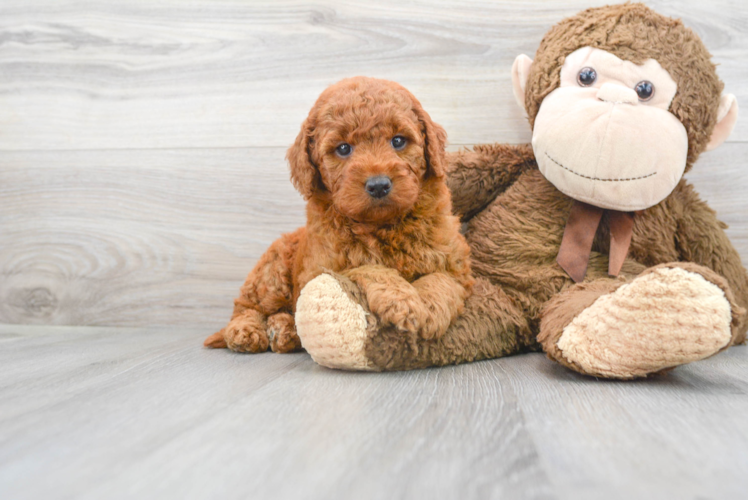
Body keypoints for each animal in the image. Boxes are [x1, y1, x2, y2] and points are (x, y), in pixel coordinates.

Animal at [203, 76, 474, 354]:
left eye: (398, 141)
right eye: (343, 148)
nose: (378, 185)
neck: (381, 226)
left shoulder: (456, 265)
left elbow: (442, 280)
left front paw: (428, 310)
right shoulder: (322, 271)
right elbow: (366, 267)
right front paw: (402, 300)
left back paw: (283, 330)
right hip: (271, 271)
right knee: (247, 307)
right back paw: (246, 332)